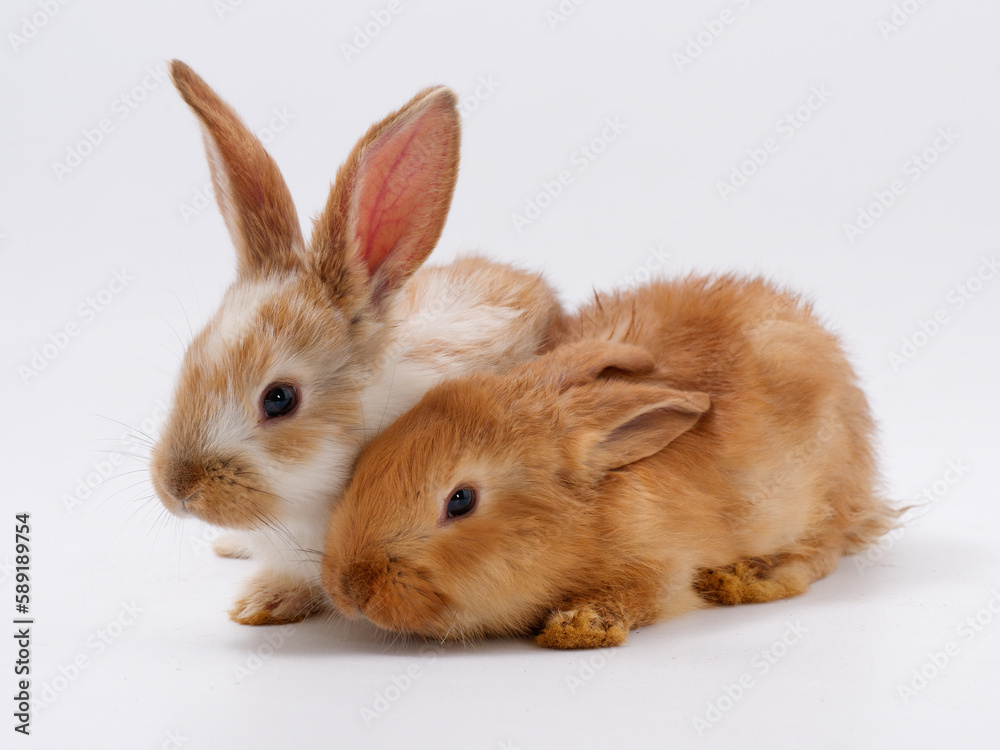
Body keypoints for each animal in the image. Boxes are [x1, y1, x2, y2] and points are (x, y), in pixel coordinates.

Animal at [322, 274, 900, 648]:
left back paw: (746, 579)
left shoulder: (663, 564)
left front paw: (578, 627)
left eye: (461, 501)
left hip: (821, 496)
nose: (348, 589)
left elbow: (644, 596)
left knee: (820, 552)